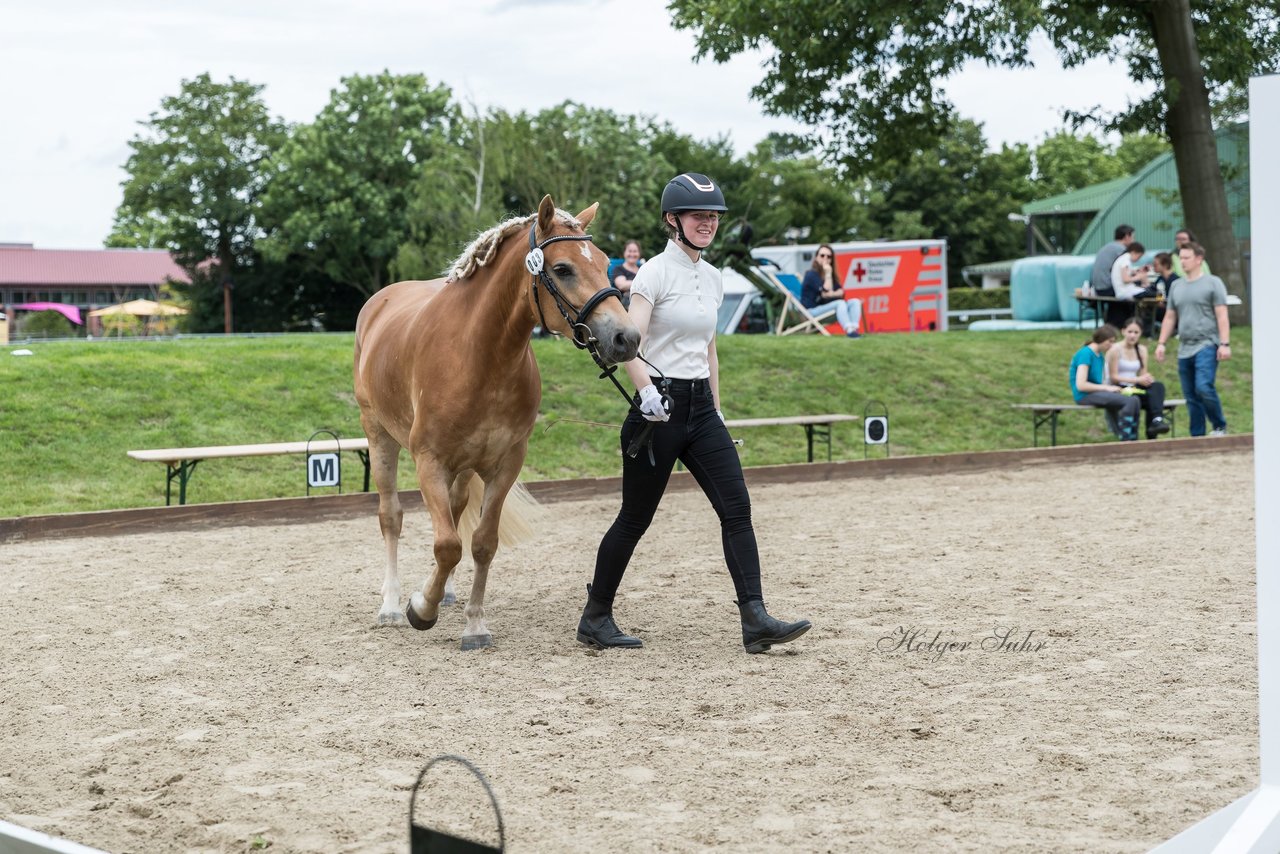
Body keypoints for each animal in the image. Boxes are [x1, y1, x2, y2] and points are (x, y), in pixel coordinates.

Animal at [353, 195, 637, 647]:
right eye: (562, 269)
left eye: (606, 262)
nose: (627, 337)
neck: (479, 355)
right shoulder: (429, 461)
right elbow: (447, 545)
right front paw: (421, 609)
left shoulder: (504, 465)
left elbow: (481, 542)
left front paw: (474, 624)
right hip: (379, 437)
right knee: (391, 517)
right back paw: (392, 605)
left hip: (464, 467)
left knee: (453, 512)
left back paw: (446, 593)